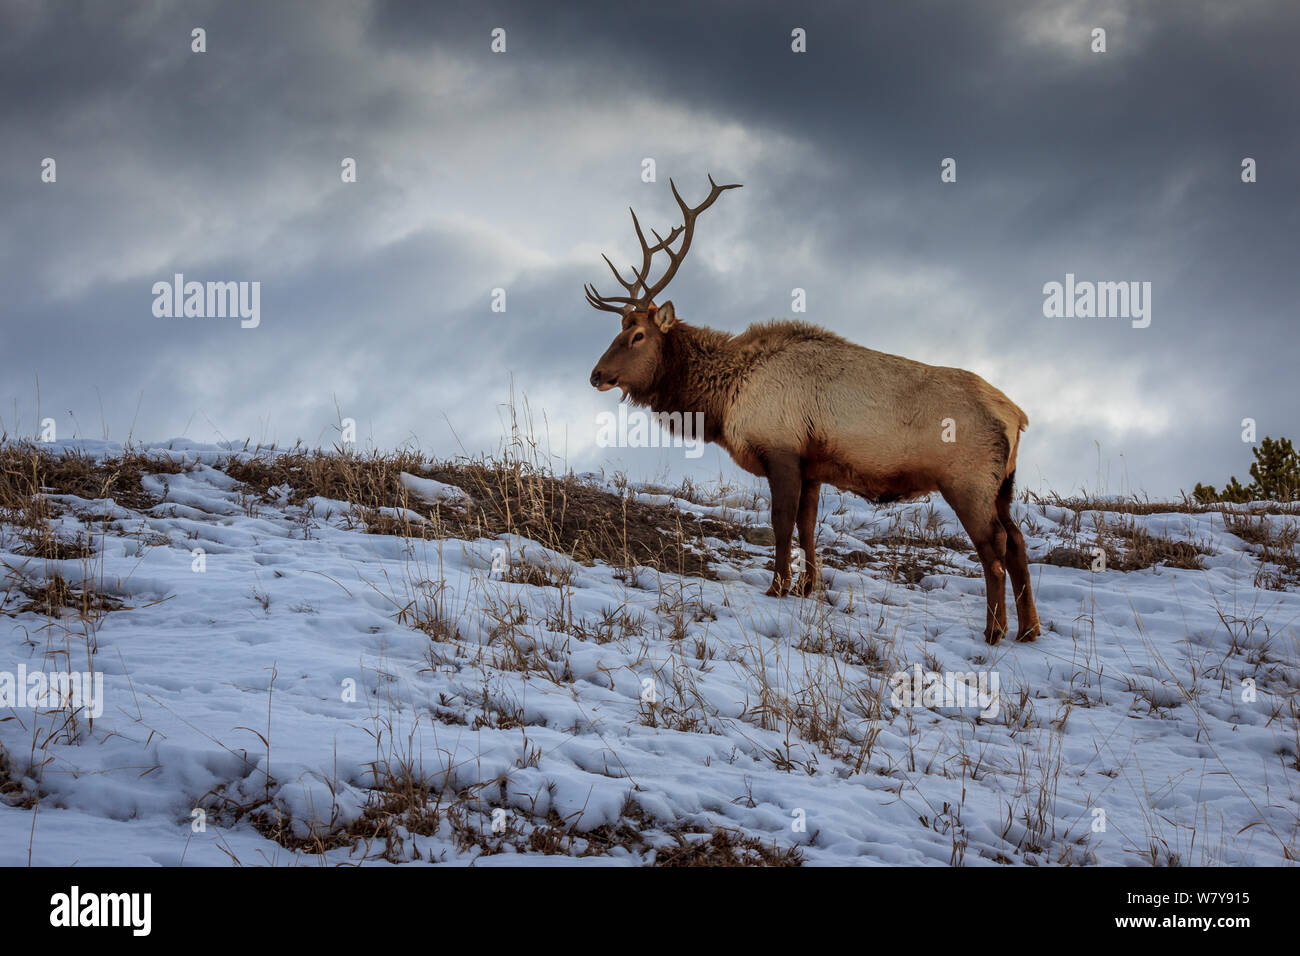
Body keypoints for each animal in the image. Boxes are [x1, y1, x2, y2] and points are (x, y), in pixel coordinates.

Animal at [590, 176, 1045, 647]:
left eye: (638, 336)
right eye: (620, 330)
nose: (597, 374)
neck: (725, 399)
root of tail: (1017, 417)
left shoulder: (782, 451)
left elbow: (781, 523)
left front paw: (778, 586)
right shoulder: (812, 465)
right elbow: (807, 527)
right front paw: (807, 587)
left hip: (967, 481)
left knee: (994, 546)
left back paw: (994, 629)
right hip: (1003, 484)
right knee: (1017, 541)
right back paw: (1029, 629)